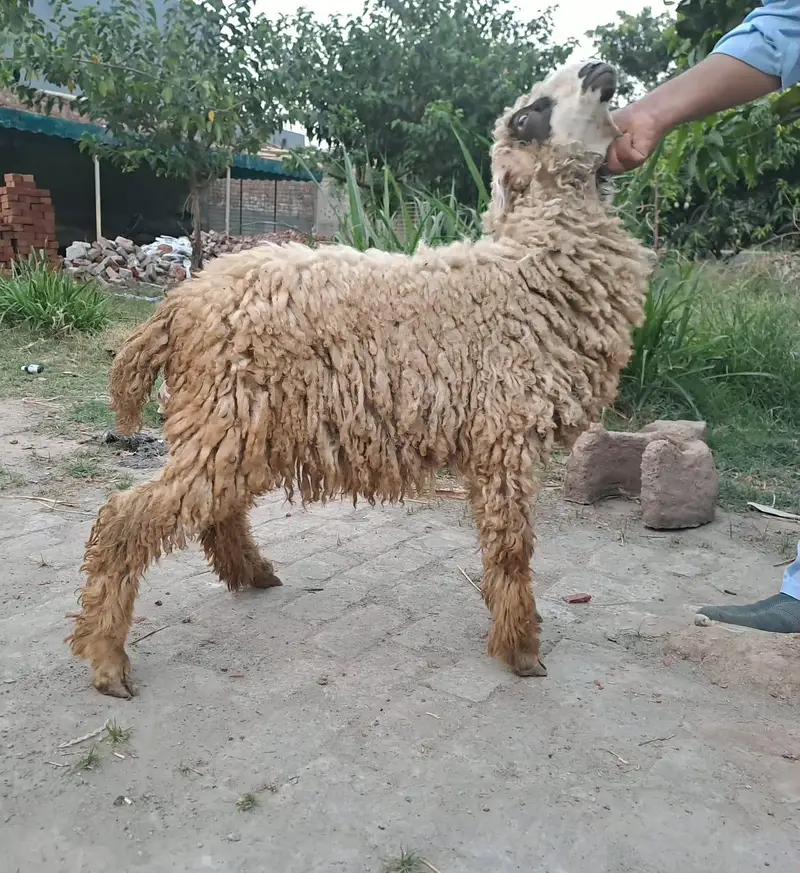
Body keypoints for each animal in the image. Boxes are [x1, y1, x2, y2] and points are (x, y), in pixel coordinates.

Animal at [67, 60, 653, 698]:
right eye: (529, 115)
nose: (599, 68)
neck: (525, 271)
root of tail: (180, 303)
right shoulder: (506, 433)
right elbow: (511, 548)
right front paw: (521, 649)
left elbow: (502, 545)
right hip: (226, 414)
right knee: (128, 518)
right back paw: (108, 662)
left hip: (240, 424)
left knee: (215, 512)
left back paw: (254, 575)